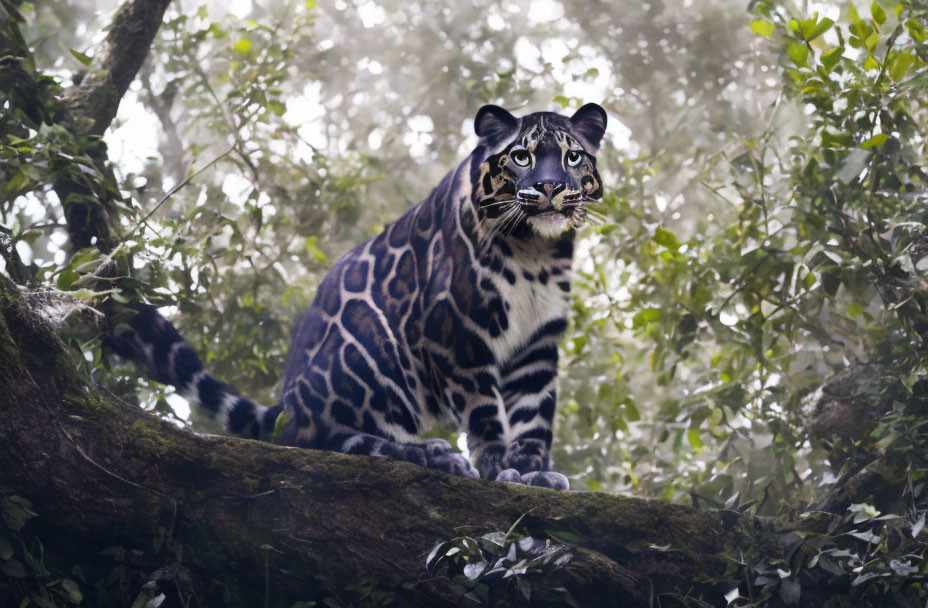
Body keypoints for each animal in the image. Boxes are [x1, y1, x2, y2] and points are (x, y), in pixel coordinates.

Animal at [116, 104, 604, 492]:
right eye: (521, 157)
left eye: (572, 156)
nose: (550, 188)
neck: (534, 252)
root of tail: (290, 402)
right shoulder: (456, 333)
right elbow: (485, 413)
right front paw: (498, 469)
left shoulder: (538, 343)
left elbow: (534, 417)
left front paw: (533, 473)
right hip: (372, 352)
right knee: (331, 440)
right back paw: (429, 454)